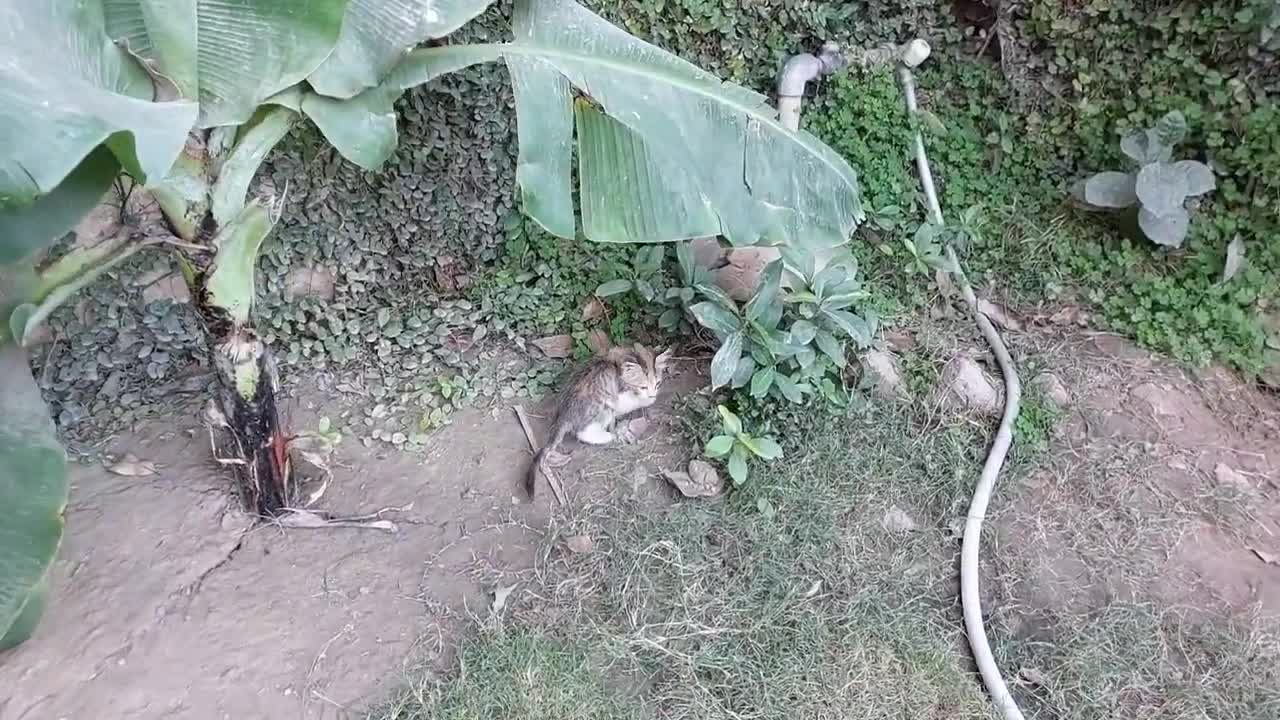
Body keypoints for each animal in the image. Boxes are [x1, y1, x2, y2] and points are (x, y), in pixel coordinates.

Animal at [524, 340, 675, 497]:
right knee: (584, 432)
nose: (652, 395)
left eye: (657, 384)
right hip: (604, 404)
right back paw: (608, 436)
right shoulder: (620, 397)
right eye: (643, 387)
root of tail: (564, 414)